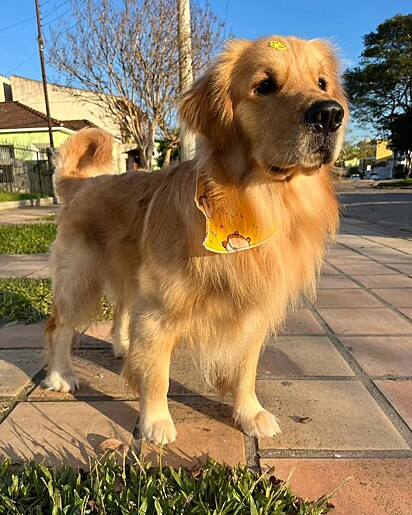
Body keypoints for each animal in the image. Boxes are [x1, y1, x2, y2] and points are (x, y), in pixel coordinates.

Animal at [45, 36, 346, 446]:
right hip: (79, 280)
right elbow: (157, 374)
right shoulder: (158, 311)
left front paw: (249, 413)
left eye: (322, 83)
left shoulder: (252, 312)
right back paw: (61, 375)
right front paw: (156, 422)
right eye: (265, 85)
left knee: (121, 312)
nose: (331, 114)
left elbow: (245, 370)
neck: (256, 203)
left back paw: (123, 347)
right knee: (59, 327)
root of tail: (80, 184)